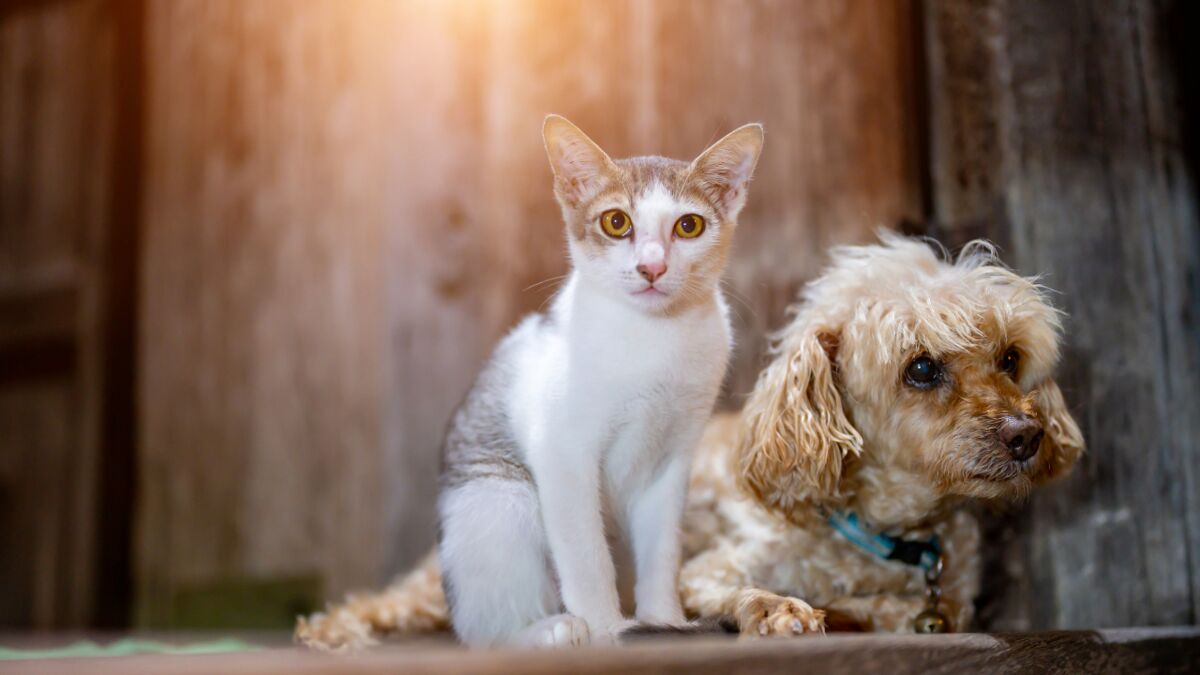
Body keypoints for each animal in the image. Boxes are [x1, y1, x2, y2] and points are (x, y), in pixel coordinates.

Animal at [295, 233, 1084, 648]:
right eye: (921, 368)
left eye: (1010, 358)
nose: (1026, 434)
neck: (885, 533)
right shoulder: (709, 570)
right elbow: (750, 592)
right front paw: (781, 609)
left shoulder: (941, 602)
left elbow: (906, 610)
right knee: (403, 598)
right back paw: (330, 628)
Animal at [422, 117, 753, 648]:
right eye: (616, 222)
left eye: (689, 226)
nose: (652, 267)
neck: (653, 338)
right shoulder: (563, 454)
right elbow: (585, 553)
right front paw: (605, 628)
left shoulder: (672, 462)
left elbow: (663, 552)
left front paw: (664, 617)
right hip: (499, 499)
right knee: (484, 635)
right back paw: (552, 630)